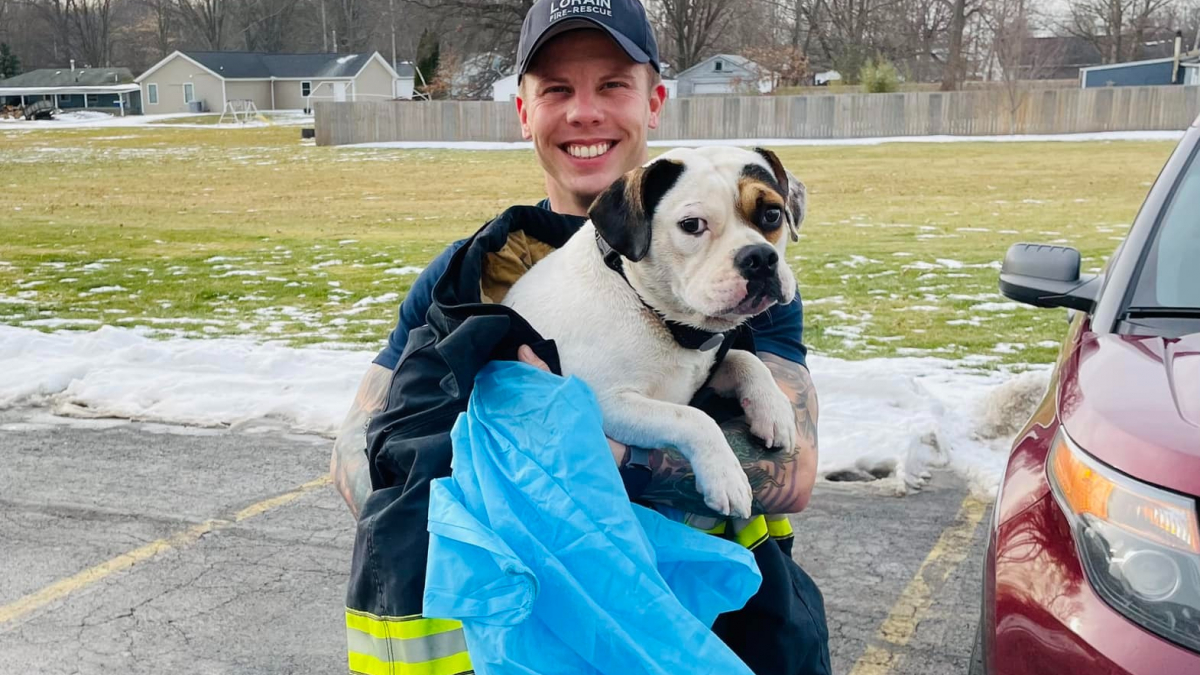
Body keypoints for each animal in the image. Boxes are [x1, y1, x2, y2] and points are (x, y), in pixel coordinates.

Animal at [501, 147, 811, 514]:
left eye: (773, 214)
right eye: (692, 225)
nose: (760, 257)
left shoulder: (697, 376)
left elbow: (746, 360)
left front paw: (774, 410)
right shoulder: (608, 402)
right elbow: (692, 418)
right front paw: (726, 477)